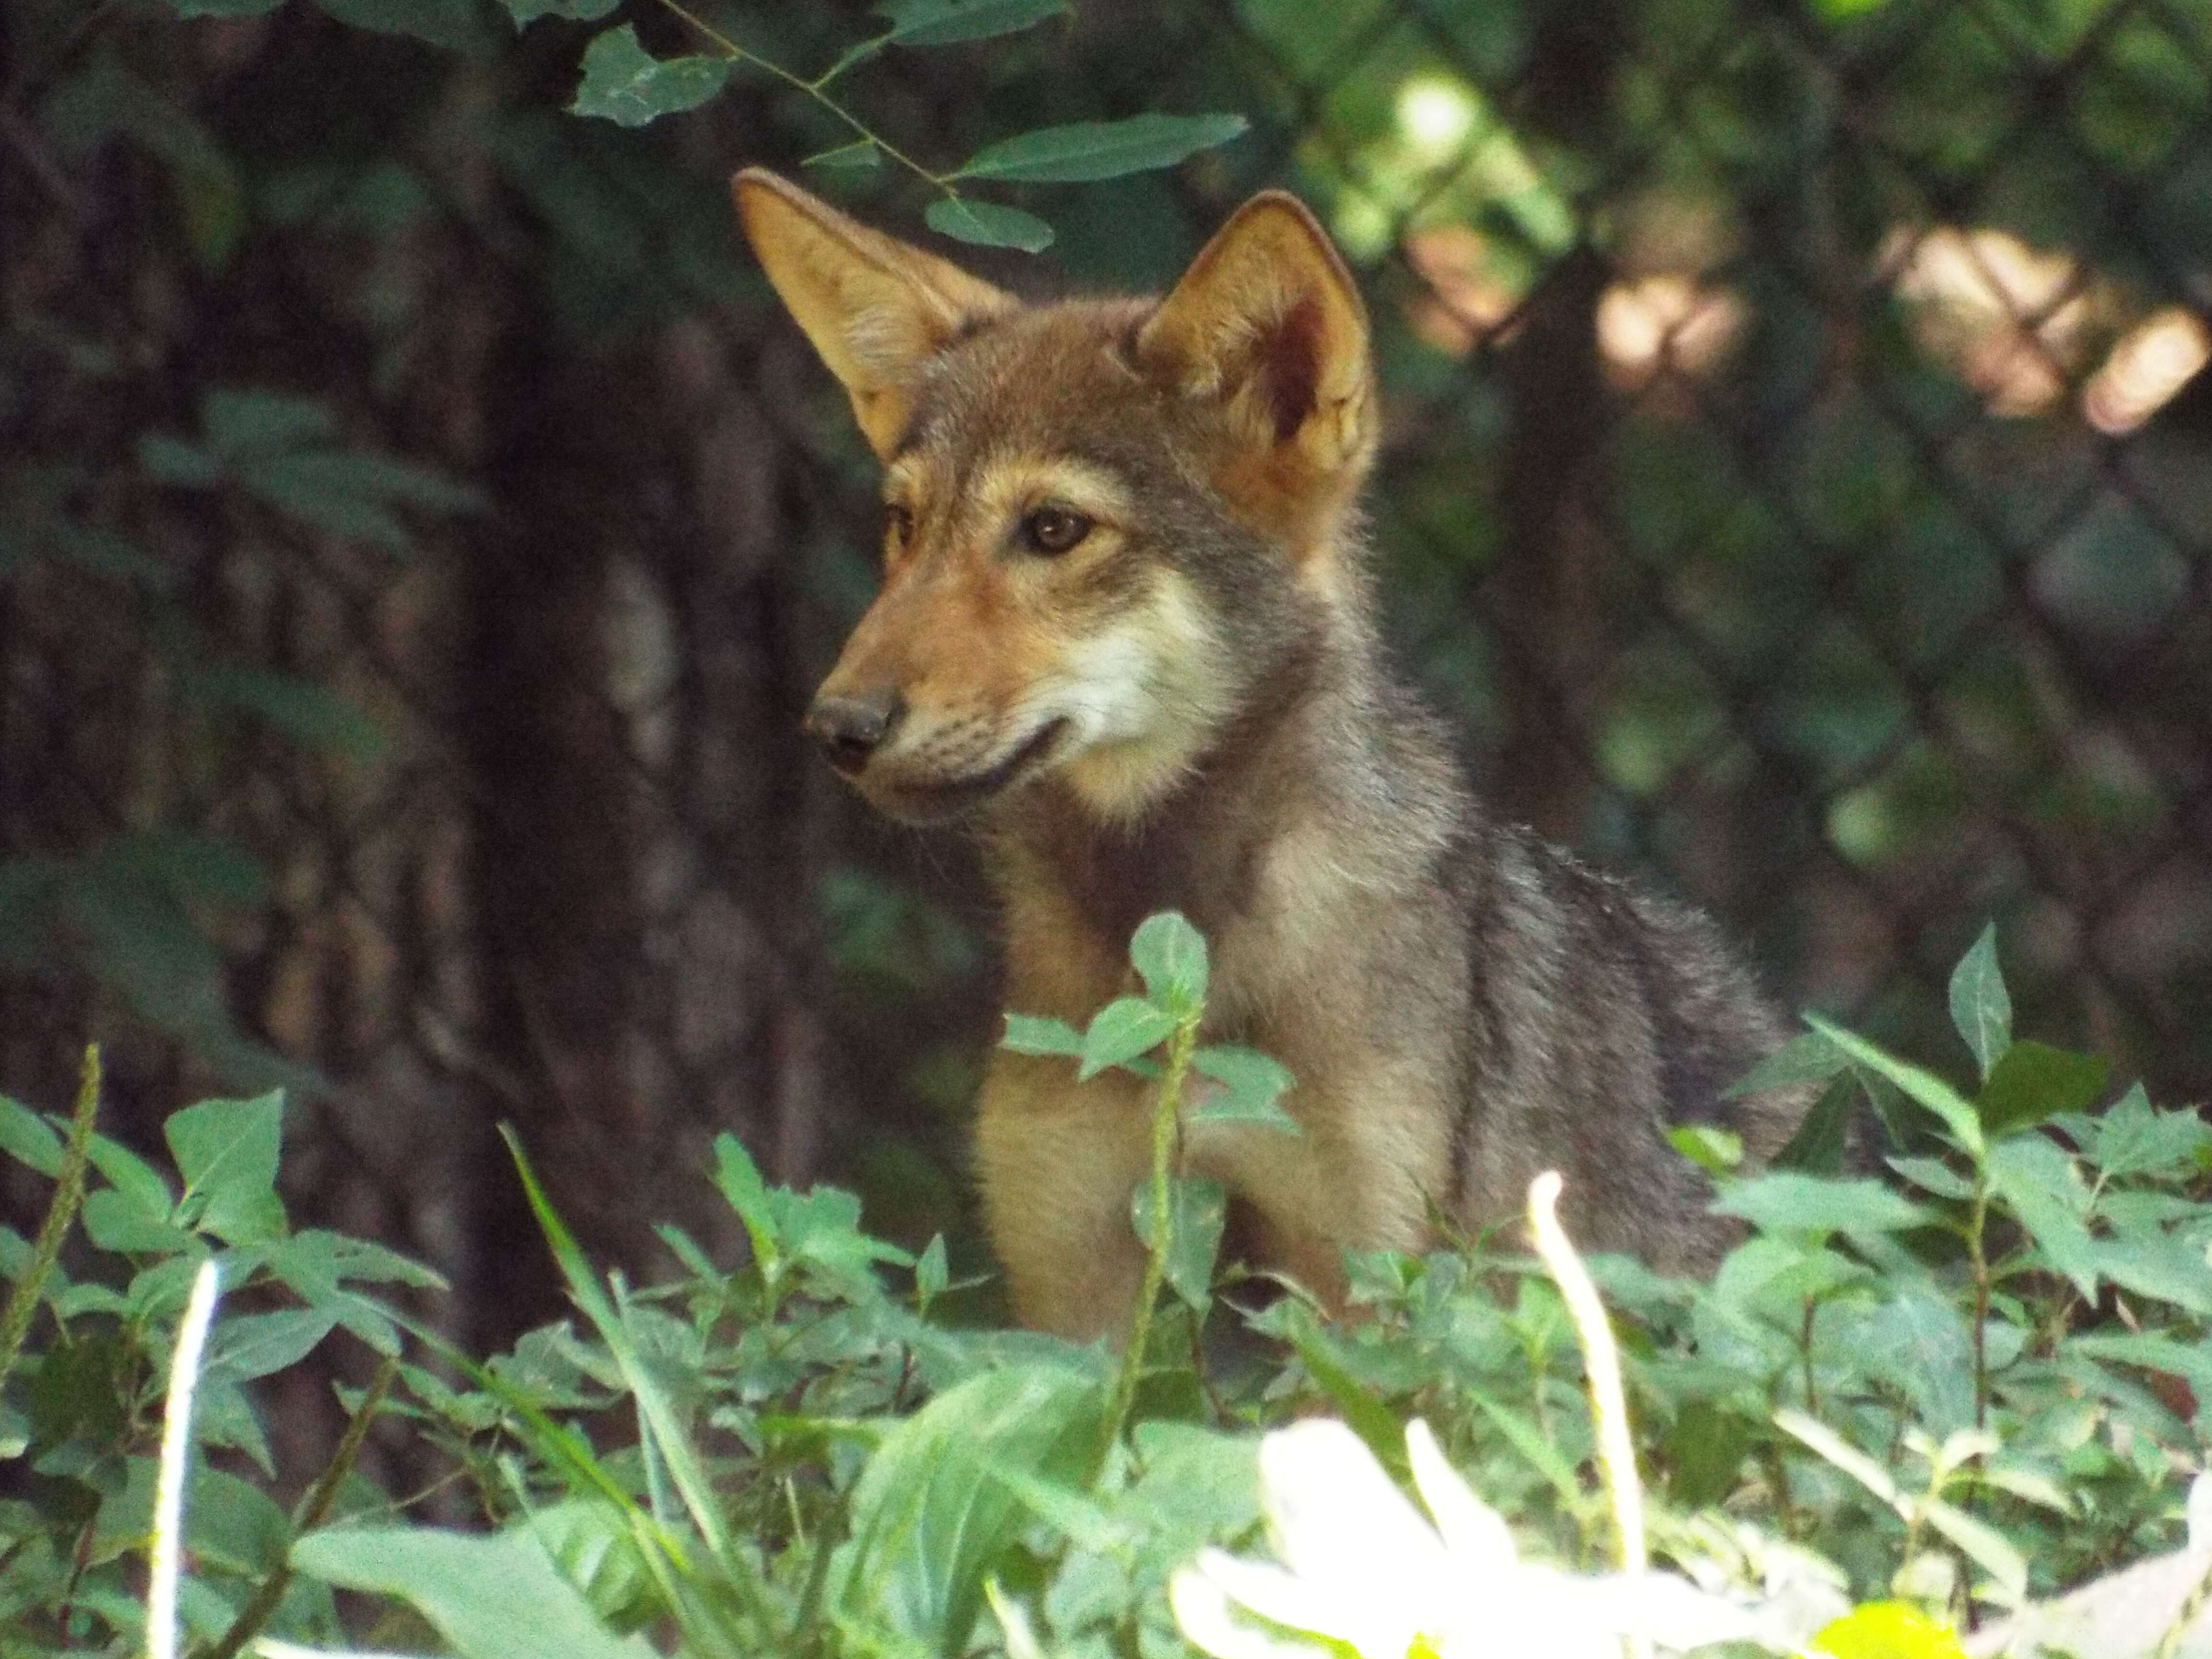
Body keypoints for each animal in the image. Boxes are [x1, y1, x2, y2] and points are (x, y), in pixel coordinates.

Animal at [734, 169, 1805, 1345]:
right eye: (903, 525)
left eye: (1055, 531)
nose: (837, 727)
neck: (1188, 958)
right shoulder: (1074, 1289)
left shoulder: (1369, 1292)